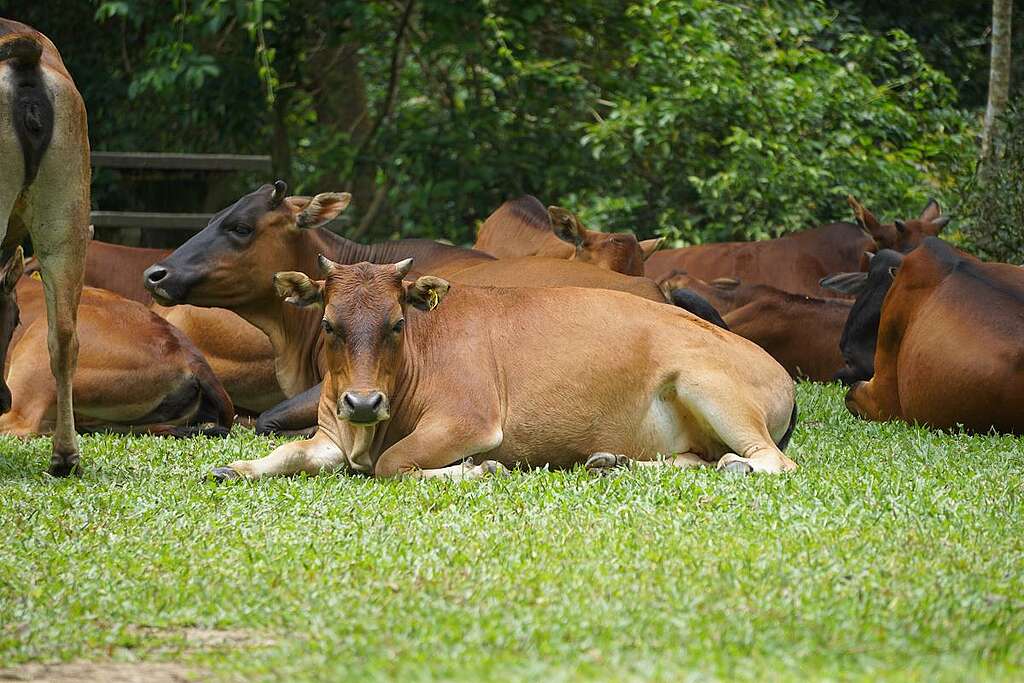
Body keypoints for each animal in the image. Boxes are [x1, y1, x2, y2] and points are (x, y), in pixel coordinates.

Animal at [209, 258, 798, 481]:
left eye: (396, 323)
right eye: (329, 324)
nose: (363, 402)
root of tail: (779, 370)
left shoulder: (470, 420)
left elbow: (394, 463)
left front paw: (474, 469)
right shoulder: (333, 428)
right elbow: (291, 451)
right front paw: (234, 467)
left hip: (707, 385)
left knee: (771, 462)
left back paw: (737, 466)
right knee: (689, 461)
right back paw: (611, 462)